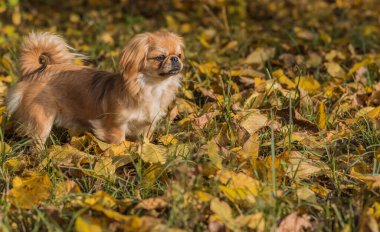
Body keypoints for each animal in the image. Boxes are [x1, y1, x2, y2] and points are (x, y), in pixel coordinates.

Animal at [5, 30, 184, 149]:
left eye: (179, 55)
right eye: (160, 57)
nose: (175, 59)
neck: (151, 86)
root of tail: (37, 71)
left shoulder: (147, 126)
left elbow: (144, 143)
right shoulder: (115, 127)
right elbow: (119, 144)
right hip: (42, 119)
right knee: (37, 141)